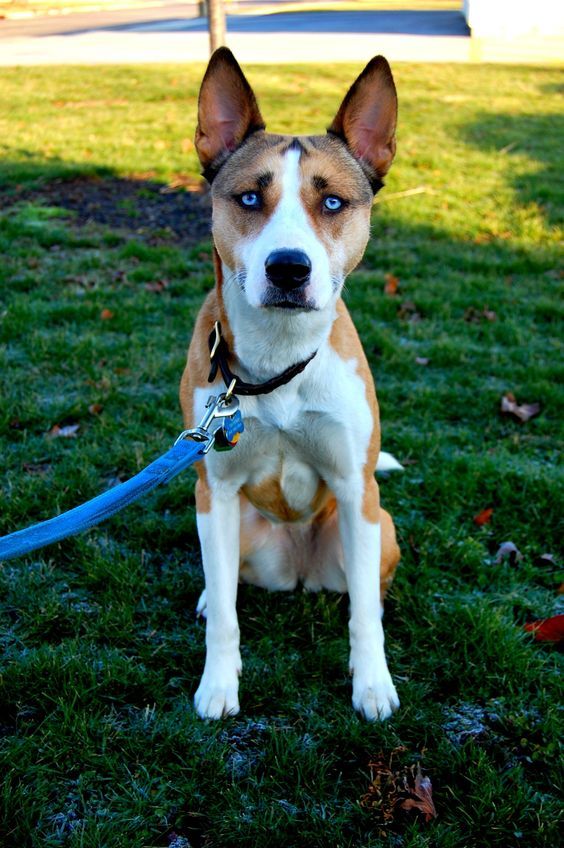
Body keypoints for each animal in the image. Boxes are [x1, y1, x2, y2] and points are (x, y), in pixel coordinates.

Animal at [181, 48, 400, 724]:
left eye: (331, 204)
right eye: (251, 196)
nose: (287, 268)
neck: (280, 360)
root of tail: (300, 569)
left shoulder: (355, 487)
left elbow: (364, 618)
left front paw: (372, 684)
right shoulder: (216, 489)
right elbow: (226, 617)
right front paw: (218, 685)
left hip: (380, 527)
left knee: (365, 590)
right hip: (232, 527)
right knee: (224, 583)